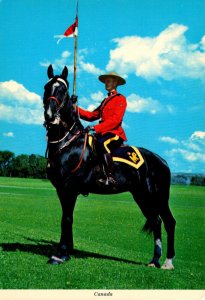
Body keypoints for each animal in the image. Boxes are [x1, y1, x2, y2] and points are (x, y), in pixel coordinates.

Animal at [43, 65, 176, 270]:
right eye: (46, 87)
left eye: (63, 90)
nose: (50, 116)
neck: (68, 143)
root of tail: (162, 161)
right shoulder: (62, 190)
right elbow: (68, 218)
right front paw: (68, 251)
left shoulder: (68, 188)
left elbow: (66, 219)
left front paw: (60, 255)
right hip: (142, 196)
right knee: (156, 222)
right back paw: (154, 260)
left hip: (159, 197)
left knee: (169, 222)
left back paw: (168, 262)